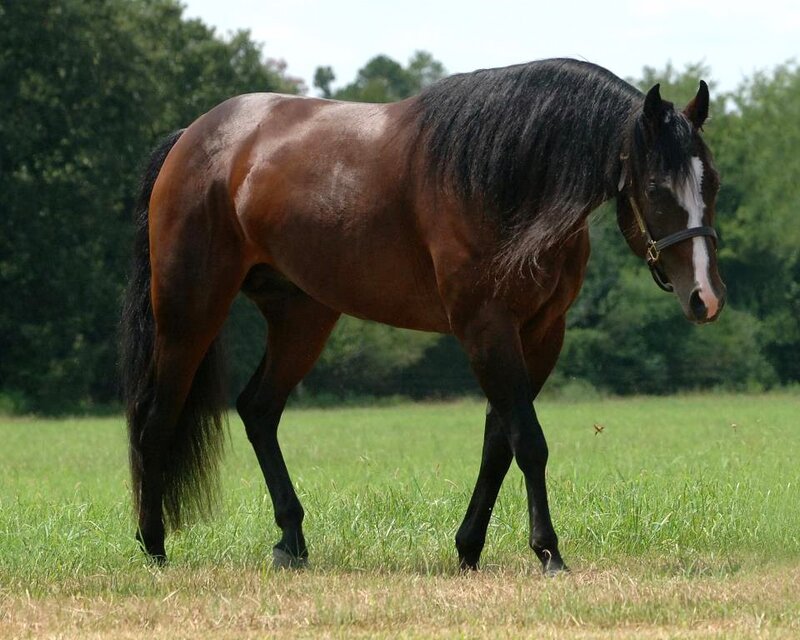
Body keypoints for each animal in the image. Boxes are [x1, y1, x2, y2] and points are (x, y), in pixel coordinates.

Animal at [120, 58, 725, 573]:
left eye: (712, 181)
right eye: (656, 187)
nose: (706, 297)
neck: (502, 179)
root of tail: (193, 138)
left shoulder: (540, 332)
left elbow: (499, 442)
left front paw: (469, 549)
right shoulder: (485, 327)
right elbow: (527, 440)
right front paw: (549, 552)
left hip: (303, 317)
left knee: (258, 410)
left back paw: (291, 542)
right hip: (190, 310)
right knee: (157, 420)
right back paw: (154, 547)